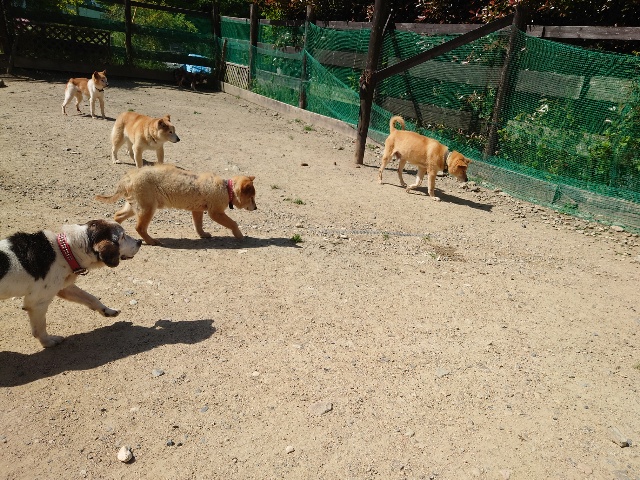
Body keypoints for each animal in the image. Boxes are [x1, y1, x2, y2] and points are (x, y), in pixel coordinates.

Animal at [0, 220, 141, 348]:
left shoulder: (63, 288)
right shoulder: (37, 303)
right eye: (122, 236)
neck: (64, 250)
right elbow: (39, 329)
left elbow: (91, 298)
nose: (139, 241)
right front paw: (48, 341)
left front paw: (108, 311)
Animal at [95, 164, 257, 246]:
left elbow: (198, 225)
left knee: (117, 216)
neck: (226, 189)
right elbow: (233, 223)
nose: (256, 208)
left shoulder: (197, 210)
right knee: (139, 227)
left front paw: (203, 235)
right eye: (252, 198)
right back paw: (152, 241)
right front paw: (240, 235)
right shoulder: (215, 213)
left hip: (134, 207)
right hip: (147, 208)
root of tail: (128, 176)